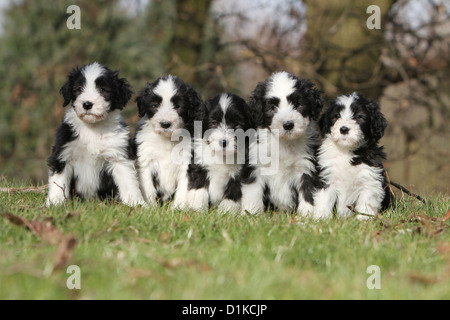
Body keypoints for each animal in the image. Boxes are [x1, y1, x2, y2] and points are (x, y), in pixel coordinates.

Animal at [45, 62, 144, 206]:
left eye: (103, 89)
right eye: (78, 89)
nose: (87, 104)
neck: (92, 129)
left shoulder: (118, 156)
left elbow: (128, 182)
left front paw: (136, 203)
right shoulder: (63, 154)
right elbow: (58, 182)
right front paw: (55, 203)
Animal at [134, 74, 204, 204]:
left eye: (178, 106)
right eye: (155, 105)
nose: (165, 124)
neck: (167, 139)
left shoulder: (186, 162)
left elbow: (183, 189)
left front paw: (178, 207)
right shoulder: (145, 160)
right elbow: (148, 188)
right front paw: (150, 206)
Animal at [246, 71, 324, 214]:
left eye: (298, 104)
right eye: (272, 107)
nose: (288, 125)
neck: (284, 143)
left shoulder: (307, 168)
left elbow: (308, 195)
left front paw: (305, 217)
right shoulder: (257, 167)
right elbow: (253, 195)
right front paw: (251, 214)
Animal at [312, 91, 394, 219]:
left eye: (359, 116)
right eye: (337, 115)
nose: (344, 129)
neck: (346, 152)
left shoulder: (369, 179)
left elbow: (366, 203)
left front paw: (364, 219)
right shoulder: (327, 177)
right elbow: (324, 199)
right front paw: (321, 218)